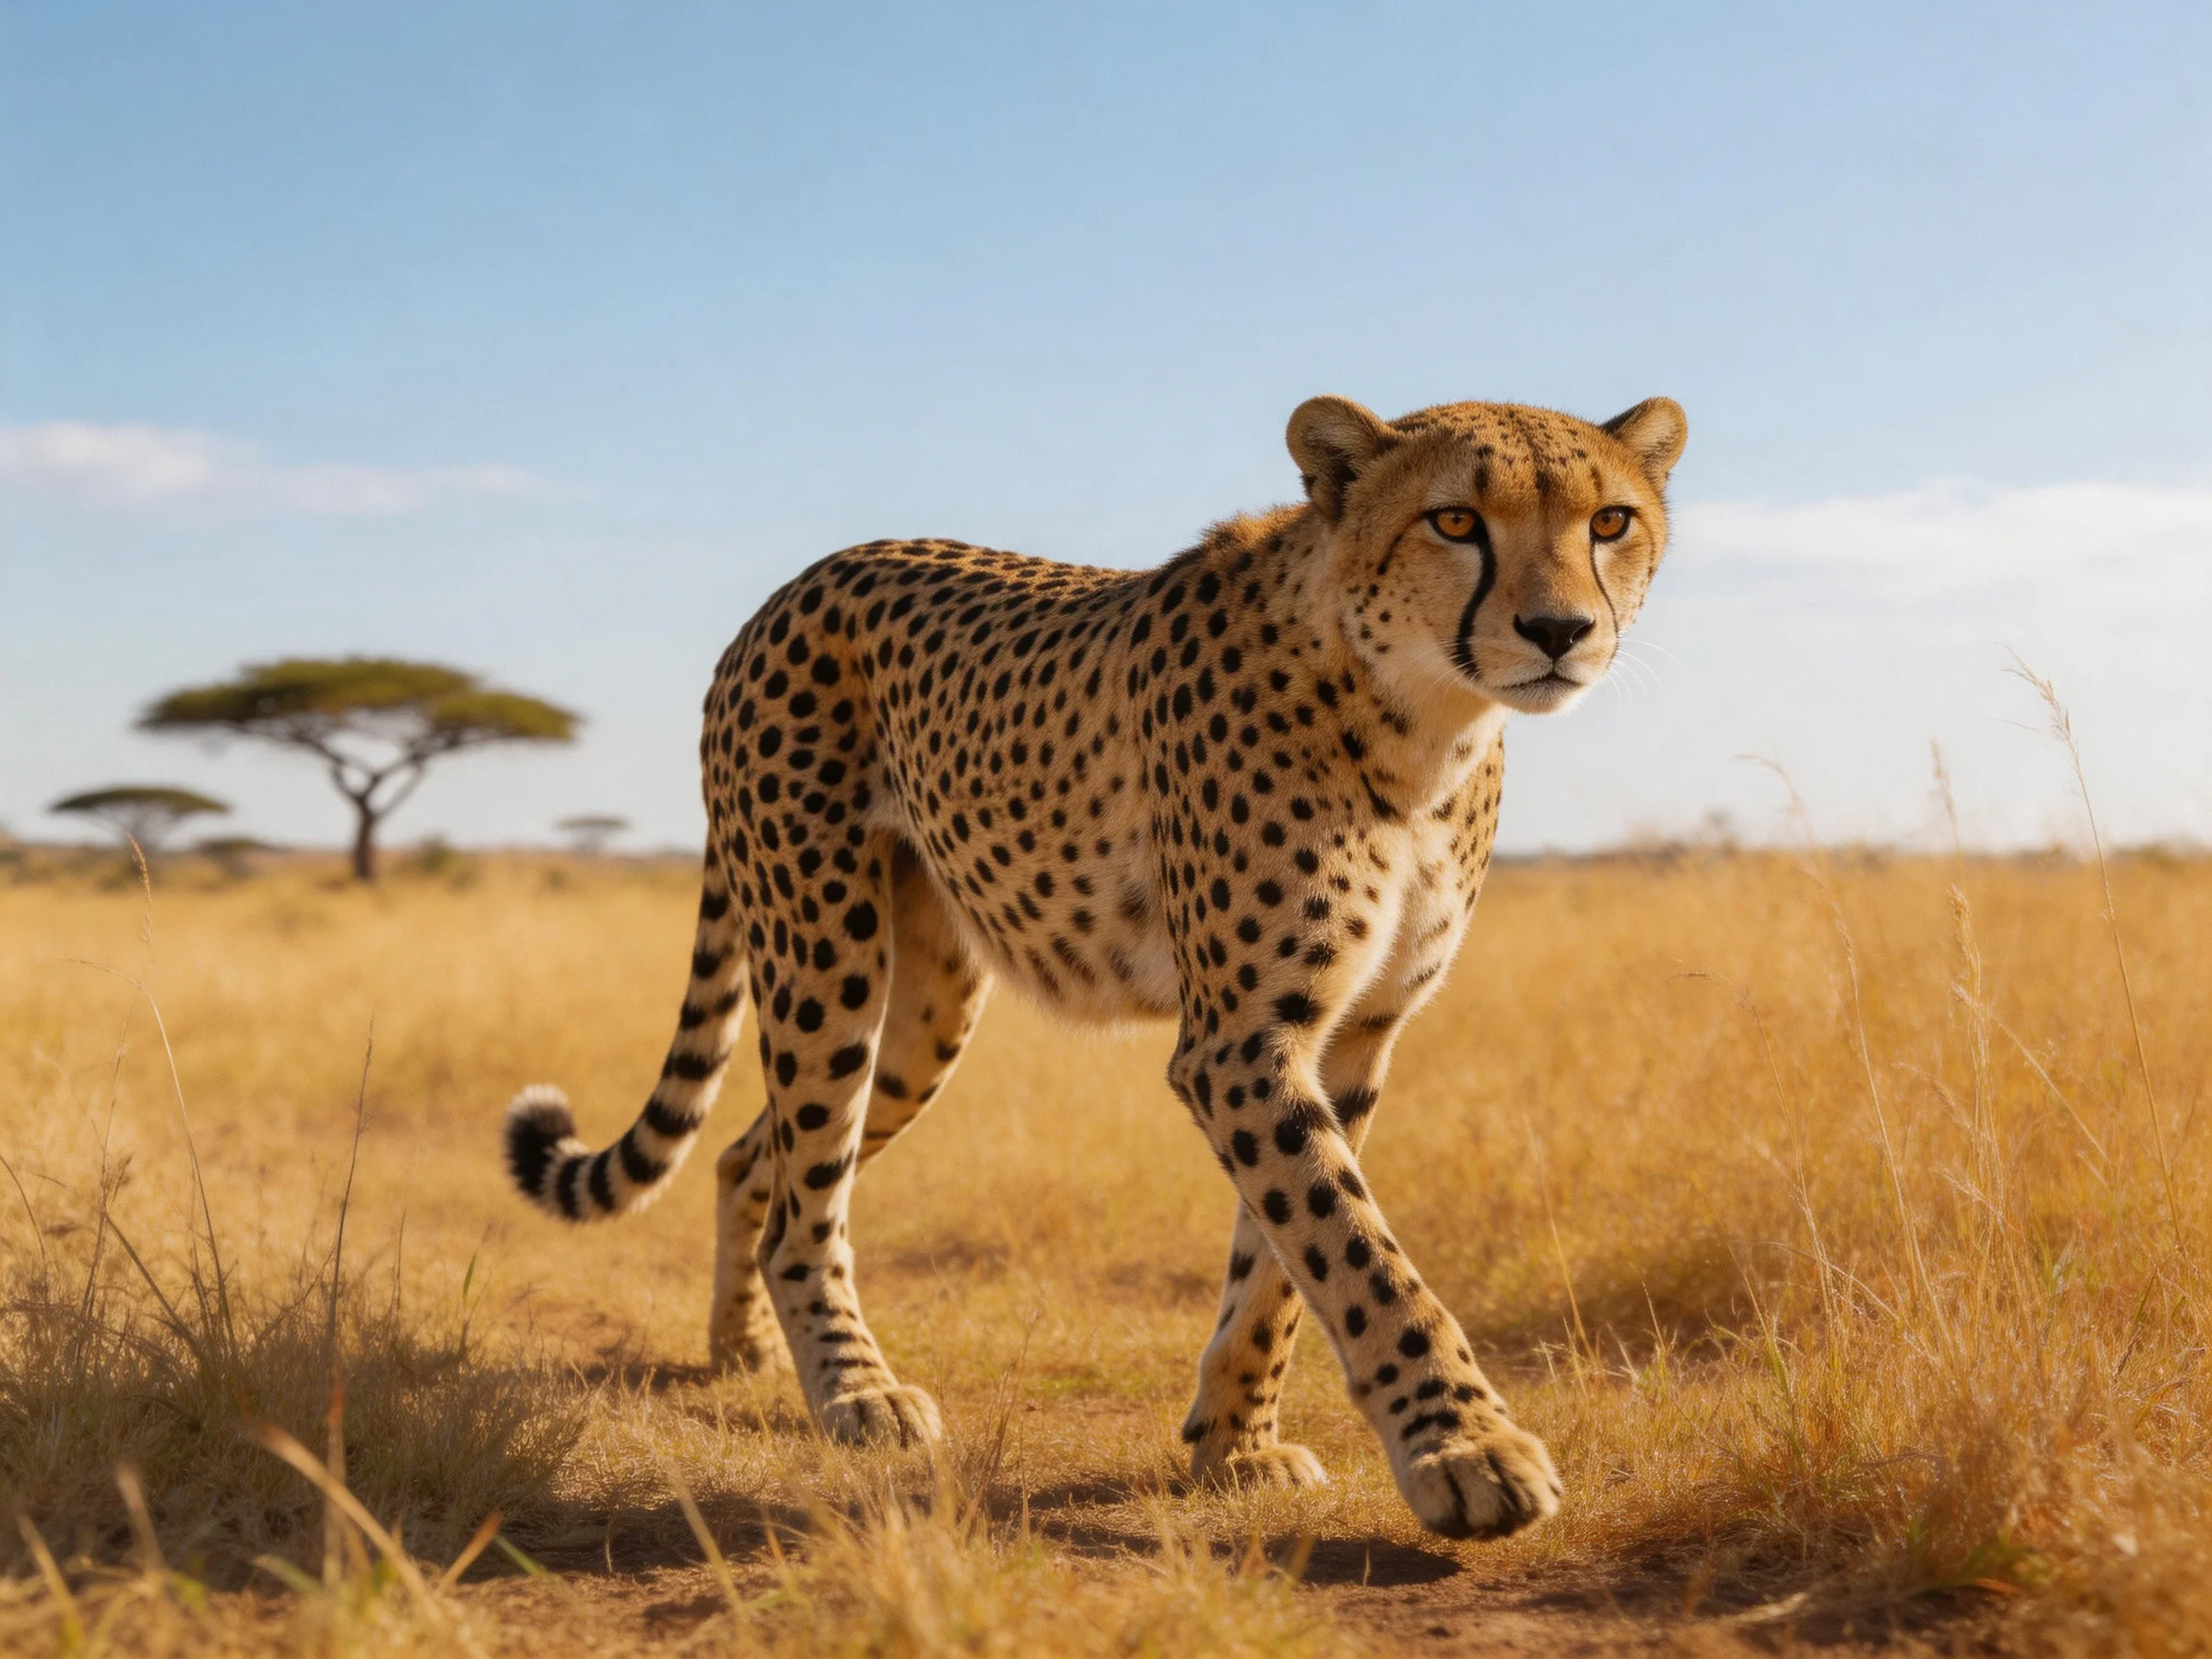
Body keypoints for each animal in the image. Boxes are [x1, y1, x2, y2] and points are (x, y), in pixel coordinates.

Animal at [504, 391, 1688, 1539]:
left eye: (1609, 522)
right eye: (1454, 521)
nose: (1559, 630)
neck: (1422, 720)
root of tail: (798, 584)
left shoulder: (1351, 1033)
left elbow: (1284, 1262)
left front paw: (1235, 1442)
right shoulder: (1242, 1041)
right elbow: (1355, 1249)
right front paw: (1465, 1450)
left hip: (925, 1009)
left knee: (759, 1157)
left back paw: (744, 1351)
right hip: (824, 952)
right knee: (807, 1196)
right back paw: (853, 1390)